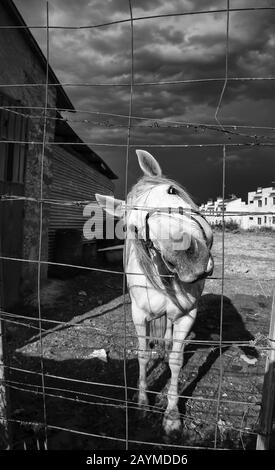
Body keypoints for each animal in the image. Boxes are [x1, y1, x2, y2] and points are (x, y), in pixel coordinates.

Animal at [96, 150, 215, 434]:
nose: (187, 256)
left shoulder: (187, 315)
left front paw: (171, 416)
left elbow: (176, 361)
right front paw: (142, 402)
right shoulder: (138, 314)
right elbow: (141, 356)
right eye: (132, 226)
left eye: (172, 190)